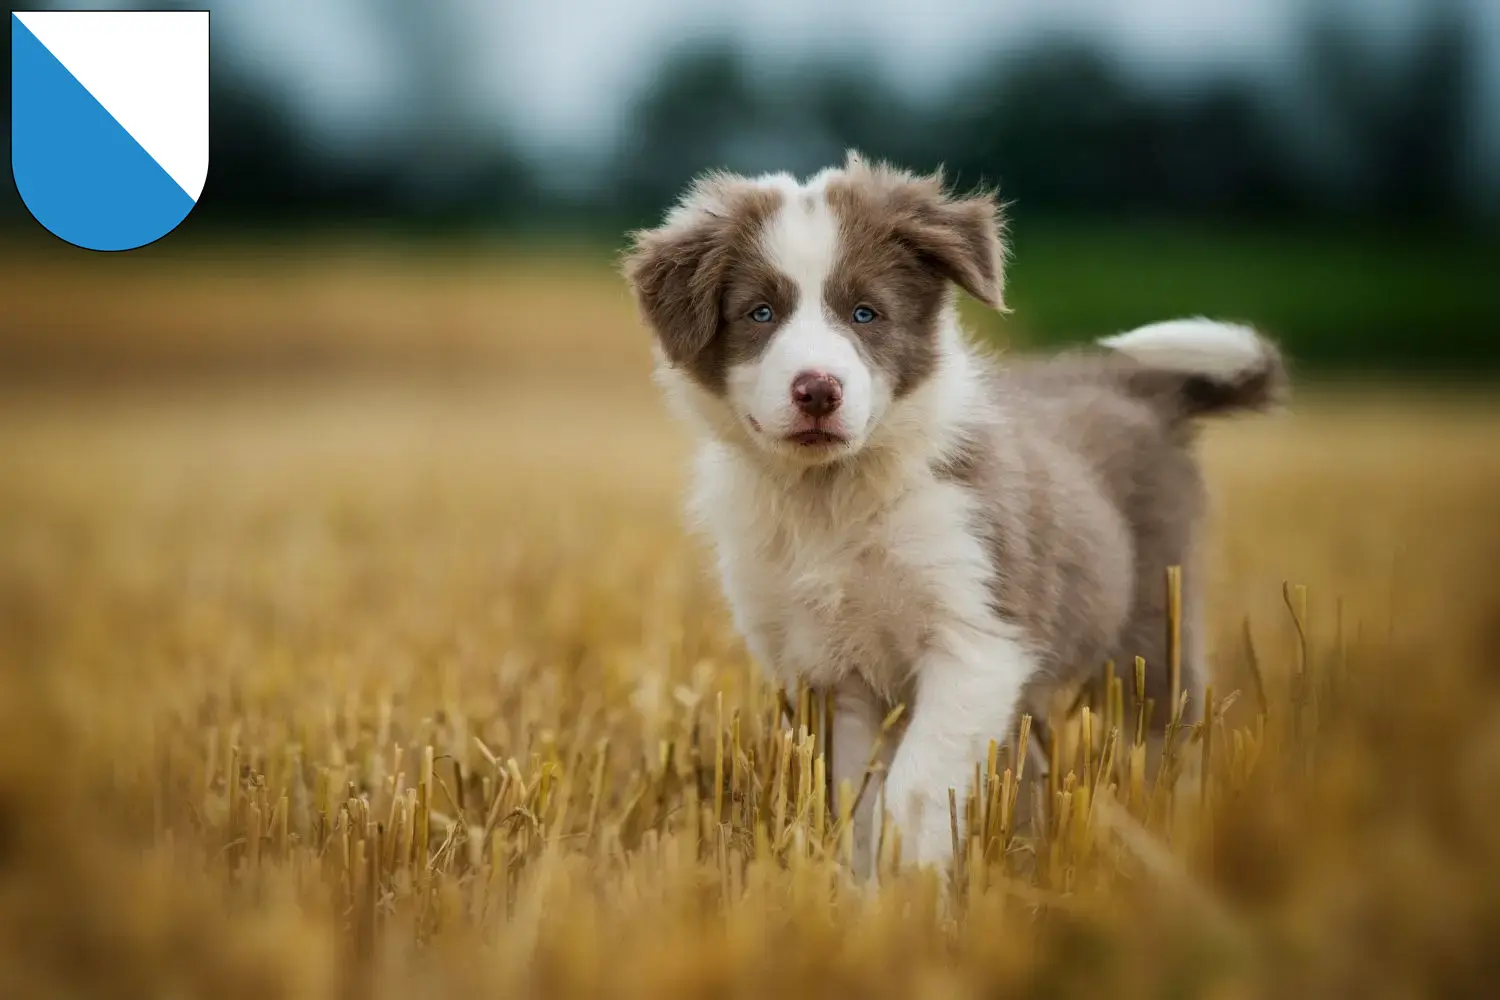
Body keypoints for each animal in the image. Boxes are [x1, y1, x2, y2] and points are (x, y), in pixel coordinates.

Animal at [621, 150, 1290, 875]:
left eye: (866, 313)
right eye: (759, 312)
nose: (818, 391)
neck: (835, 496)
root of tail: (1138, 389)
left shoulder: (976, 636)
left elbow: (917, 785)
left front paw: (914, 882)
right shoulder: (830, 671)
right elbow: (854, 797)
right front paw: (862, 889)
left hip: (1152, 629)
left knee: (1169, 735)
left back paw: (1177, 835)